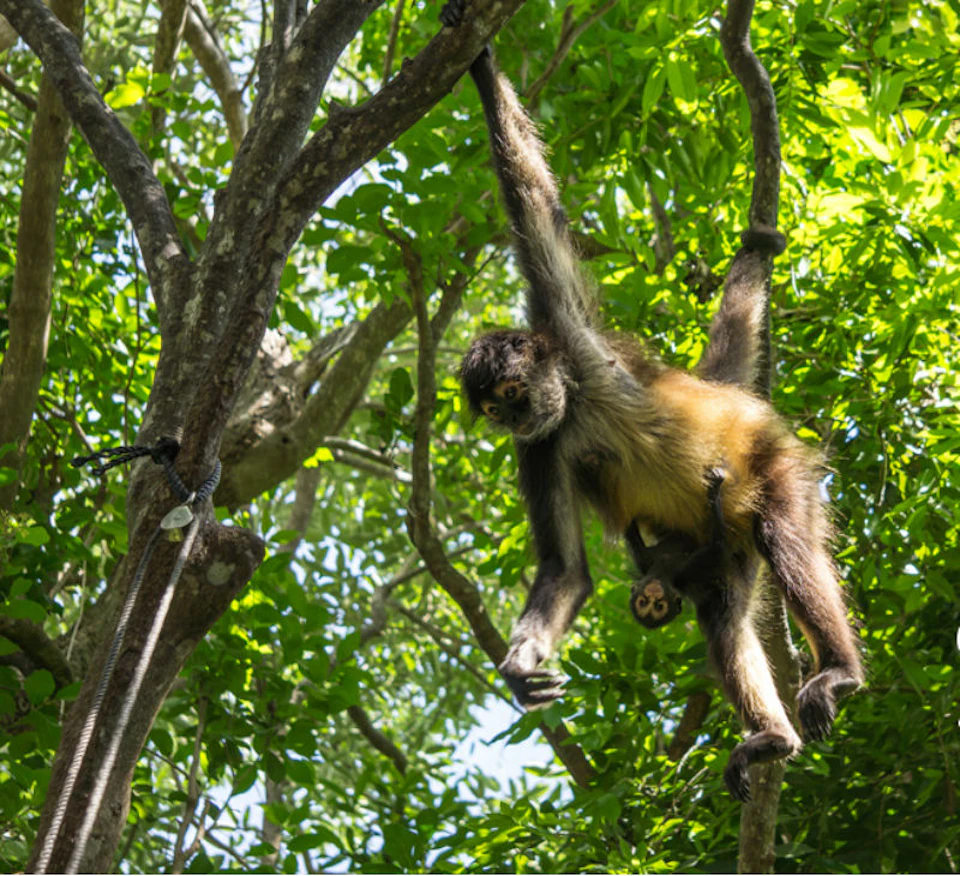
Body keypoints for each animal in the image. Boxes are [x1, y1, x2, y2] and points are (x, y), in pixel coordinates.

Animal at [442, 4, 862, 802]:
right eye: (496, 413)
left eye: (510, 392)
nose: (514, 417)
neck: (574, 407)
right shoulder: (538, 452)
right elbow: (568, 573)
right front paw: (520, 670)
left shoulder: (573, 338)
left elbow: (530, 198)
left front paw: (477, 61)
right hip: (721, 544)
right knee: (723, 616)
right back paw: (771, 737)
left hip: (773, 469)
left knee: (786, 539)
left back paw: (840, 671)